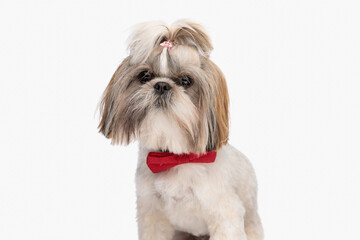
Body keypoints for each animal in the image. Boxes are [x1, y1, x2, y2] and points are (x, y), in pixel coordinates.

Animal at [98, 20, 264, 240]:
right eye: (145, 75)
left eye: (186, 81)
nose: (161, 85)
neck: (176, 157)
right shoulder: (153, 217)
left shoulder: (225, 214)